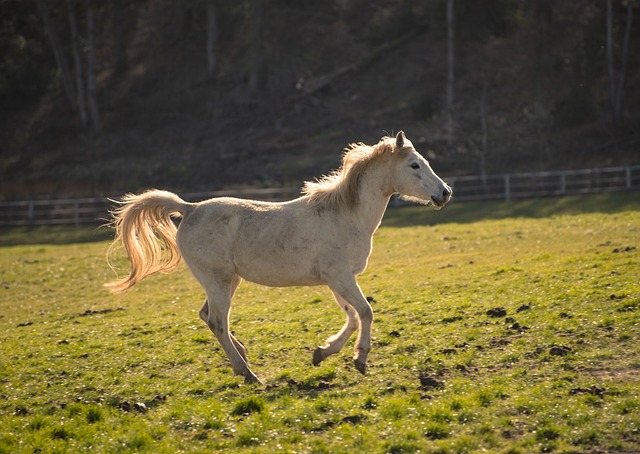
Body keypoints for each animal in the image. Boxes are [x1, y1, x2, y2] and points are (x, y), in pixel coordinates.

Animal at [107, 131, 452, 384]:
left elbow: (353, 317)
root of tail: (189, 209)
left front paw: (322, 352)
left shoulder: (336, 280)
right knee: (218, 321)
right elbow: (365, 312)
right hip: (218, 280)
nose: (445, 193)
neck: (345, 215)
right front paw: (360, 359)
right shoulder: (341, 277)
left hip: (227, 281)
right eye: (414, 165)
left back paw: (243, 357)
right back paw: (249, 374)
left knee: (208, 317)